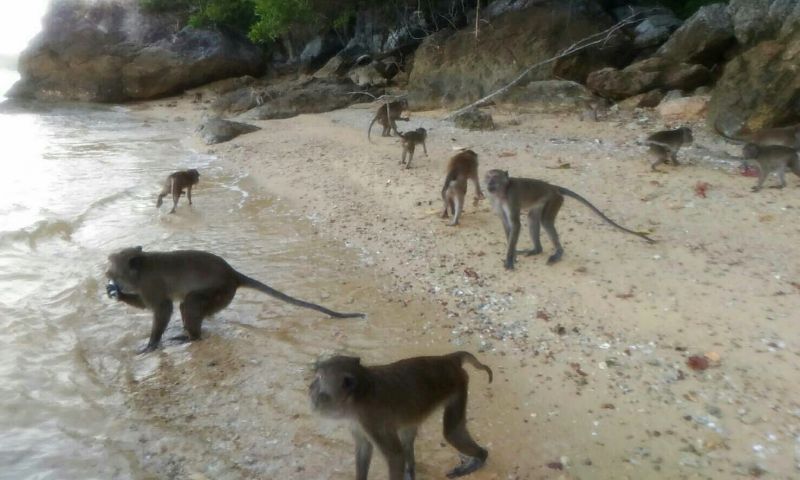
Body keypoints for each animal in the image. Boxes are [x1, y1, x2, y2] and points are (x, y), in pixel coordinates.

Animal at [105, 248, 366, 352]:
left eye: (113, 268)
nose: (106, 274)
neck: (141, 269)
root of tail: (233, 274)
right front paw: (119, 295)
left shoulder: (151, 285)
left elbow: (163, 308)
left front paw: (152, 344)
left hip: (221, 290)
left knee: (189, 303)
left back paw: (192, 337)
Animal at [310, 348, 490, 480]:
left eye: (319, 379)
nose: (311, 388)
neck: (359, 394)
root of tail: (448, 359)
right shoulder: (357, 422)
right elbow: (364, 447)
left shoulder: (371, 419)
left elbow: (395, 456)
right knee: (408, 433)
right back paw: (410, 471)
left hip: (458, 385)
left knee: (452, 433)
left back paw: (481, 456)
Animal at [484, 170, 652, 270]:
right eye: (487, 177)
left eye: (495, 177)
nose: (488, 183)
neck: (501, 193)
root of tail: (552, 187)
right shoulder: (495, 201)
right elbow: (507, 225)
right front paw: (512, 254)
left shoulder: (511, 198)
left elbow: (516, 225)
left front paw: (509, 258)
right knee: (533, 218)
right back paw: (537, 250)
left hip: (554, 199)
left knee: (546, 222)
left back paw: (558, 253)